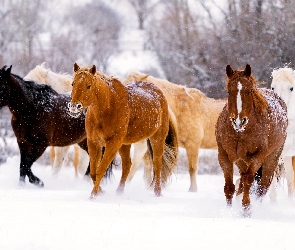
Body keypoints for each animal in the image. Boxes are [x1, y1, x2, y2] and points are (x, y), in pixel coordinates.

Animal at [69, 63, 179, 198]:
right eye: (73, 84)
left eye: (88, 86)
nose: (74, 107)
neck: (107, 108)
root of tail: (159, 93)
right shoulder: (94, 143)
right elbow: (93, 172)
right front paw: (100, 192)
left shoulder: (112, 144)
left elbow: (100, 169)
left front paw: (94, 195)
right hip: (125, 144)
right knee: (127, 165)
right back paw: (119, 192)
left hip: (157, 139)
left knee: (157, 164)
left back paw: (157, 192)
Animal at [216, 64, 288, 215]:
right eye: (229, 92)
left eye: (249, 91)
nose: (239, 121)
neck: (240, 133)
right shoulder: (224, 155)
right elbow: (229, 186)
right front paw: (229, 210)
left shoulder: (258, 156)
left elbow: (250, 180)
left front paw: (246, 208)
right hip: (241, 160)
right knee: (243, 181)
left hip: (271, 159)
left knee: (262, 186)